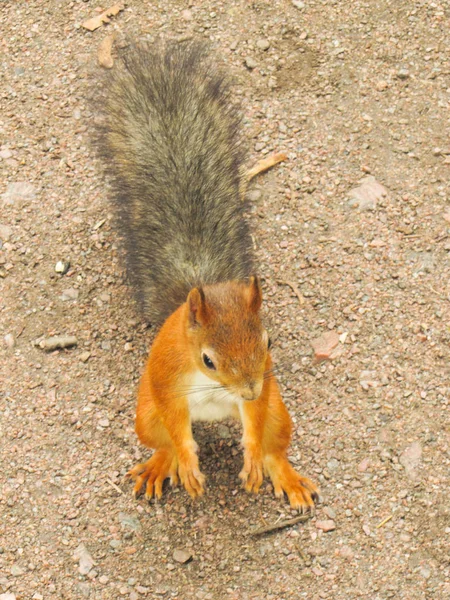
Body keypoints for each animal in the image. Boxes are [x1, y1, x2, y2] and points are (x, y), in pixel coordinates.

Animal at [96, 42, 318, 510]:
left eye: (269, 341)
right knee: (161, 439)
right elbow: (178, 430)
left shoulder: (263, 387)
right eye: (208, 360)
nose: (248, 390)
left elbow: (255, 427)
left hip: (278, 409)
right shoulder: (165, 382)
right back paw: (162, 464)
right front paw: (187, 462)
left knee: (273, 444)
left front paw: (251, 456)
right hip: (144, 414)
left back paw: (282, 473)